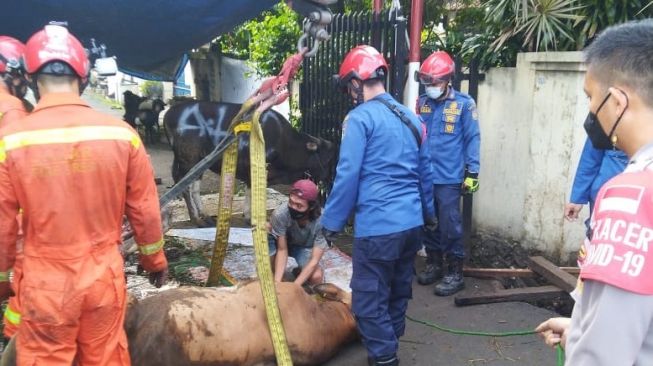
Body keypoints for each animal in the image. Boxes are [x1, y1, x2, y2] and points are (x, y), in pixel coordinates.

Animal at [163, 100, 336, 226]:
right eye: (328, 159)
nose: (331, 177)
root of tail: (169, 113)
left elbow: (249, 190)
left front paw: (248, 215)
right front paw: (253, 218)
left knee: (193, 187)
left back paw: (205, 216)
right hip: (188, 159)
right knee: (185, 186)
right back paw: (196, 219)